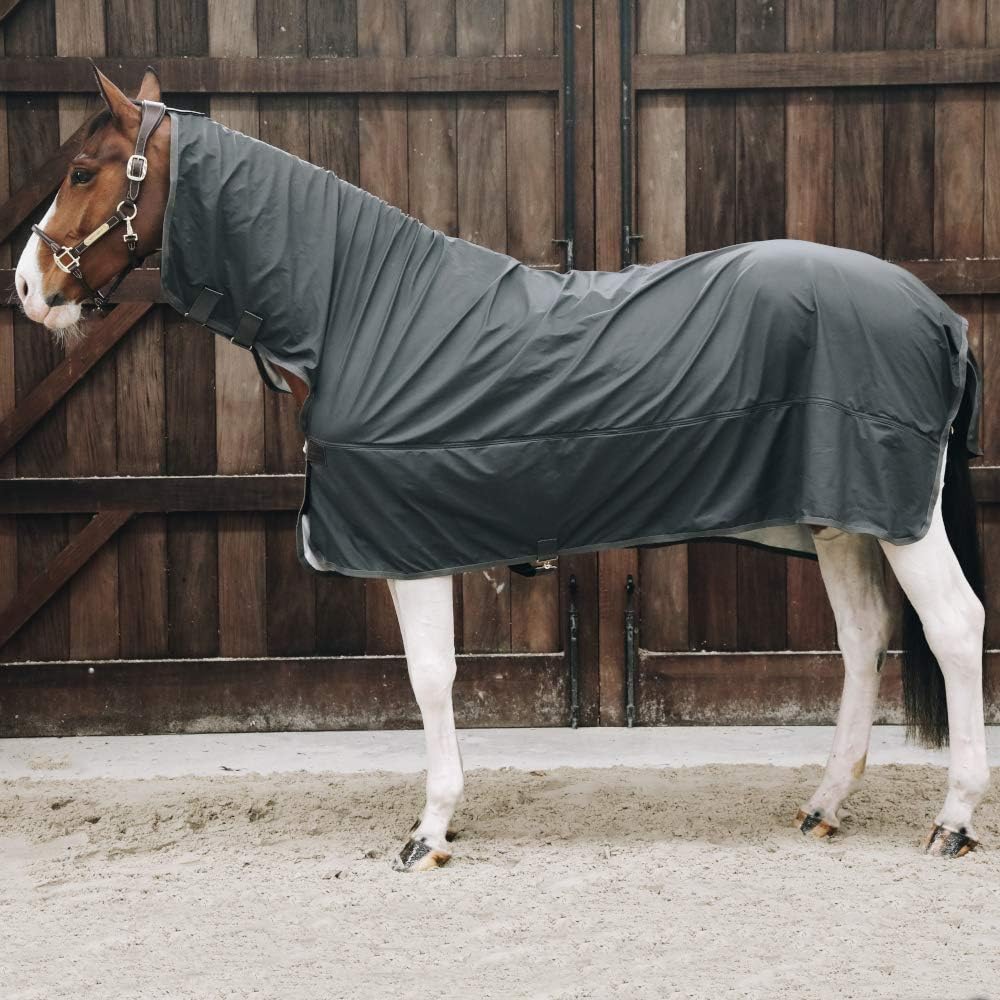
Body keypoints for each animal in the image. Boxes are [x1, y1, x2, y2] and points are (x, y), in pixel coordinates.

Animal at [14, 68, 991, 869]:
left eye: (83, 171)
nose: (28, 290)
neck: (360, 313)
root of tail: (939, 316)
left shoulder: (410, 547)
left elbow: (431, 679)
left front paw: (431, 828)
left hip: (904, 520)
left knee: (954, 627)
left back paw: (953, 819)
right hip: (843, 520)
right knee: (863, 638)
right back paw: (826, 805)